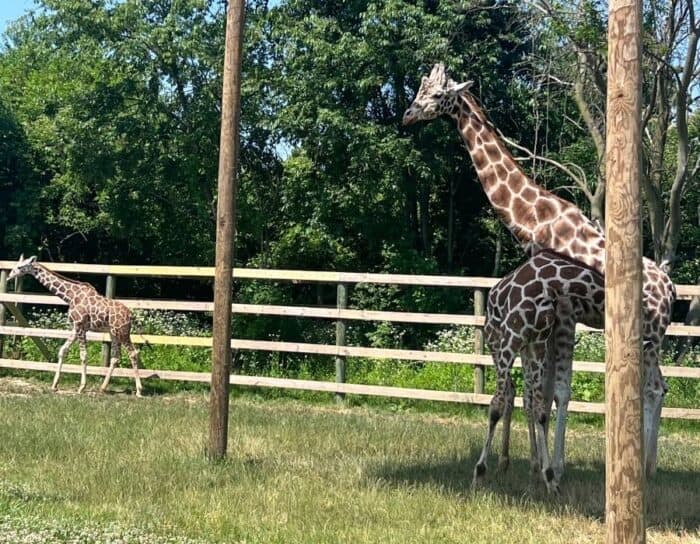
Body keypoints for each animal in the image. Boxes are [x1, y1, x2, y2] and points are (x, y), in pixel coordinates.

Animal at [8, 255, 144, 396]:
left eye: (20, 267)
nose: (9, 276)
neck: (70, 296)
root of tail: (131, 315)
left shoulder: (80, 325)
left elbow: (83, 355)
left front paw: (81, 387)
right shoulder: (75, 327)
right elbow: (63, 350)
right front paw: (54, 385)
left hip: (122, 332)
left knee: (133, 353)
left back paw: (139, 390)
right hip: (113, 332)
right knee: (116, 357)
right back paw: (102, 388)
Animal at [474, 250, 604, 492]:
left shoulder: (537, 344)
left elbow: (540, 410)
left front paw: (549, 477)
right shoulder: (511, 339)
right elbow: (495, 406)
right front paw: (479, 472)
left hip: (523, 350)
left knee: (519, 394)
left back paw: (517, 464)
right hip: (496, 343)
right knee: (506, 394)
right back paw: (502, 464)